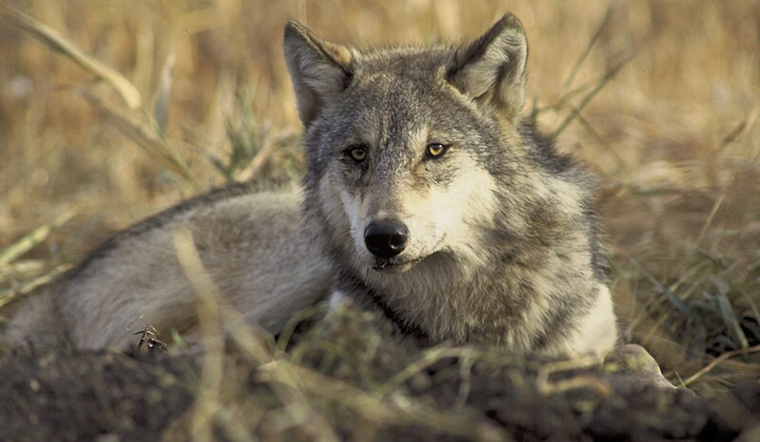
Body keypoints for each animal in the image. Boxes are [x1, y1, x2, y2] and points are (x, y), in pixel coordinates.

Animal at [4, 14, 618, 358]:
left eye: (435, 150)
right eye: (357, 154)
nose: (383, 239)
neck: (461, 310)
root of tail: (58, 288)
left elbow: (628, 356)